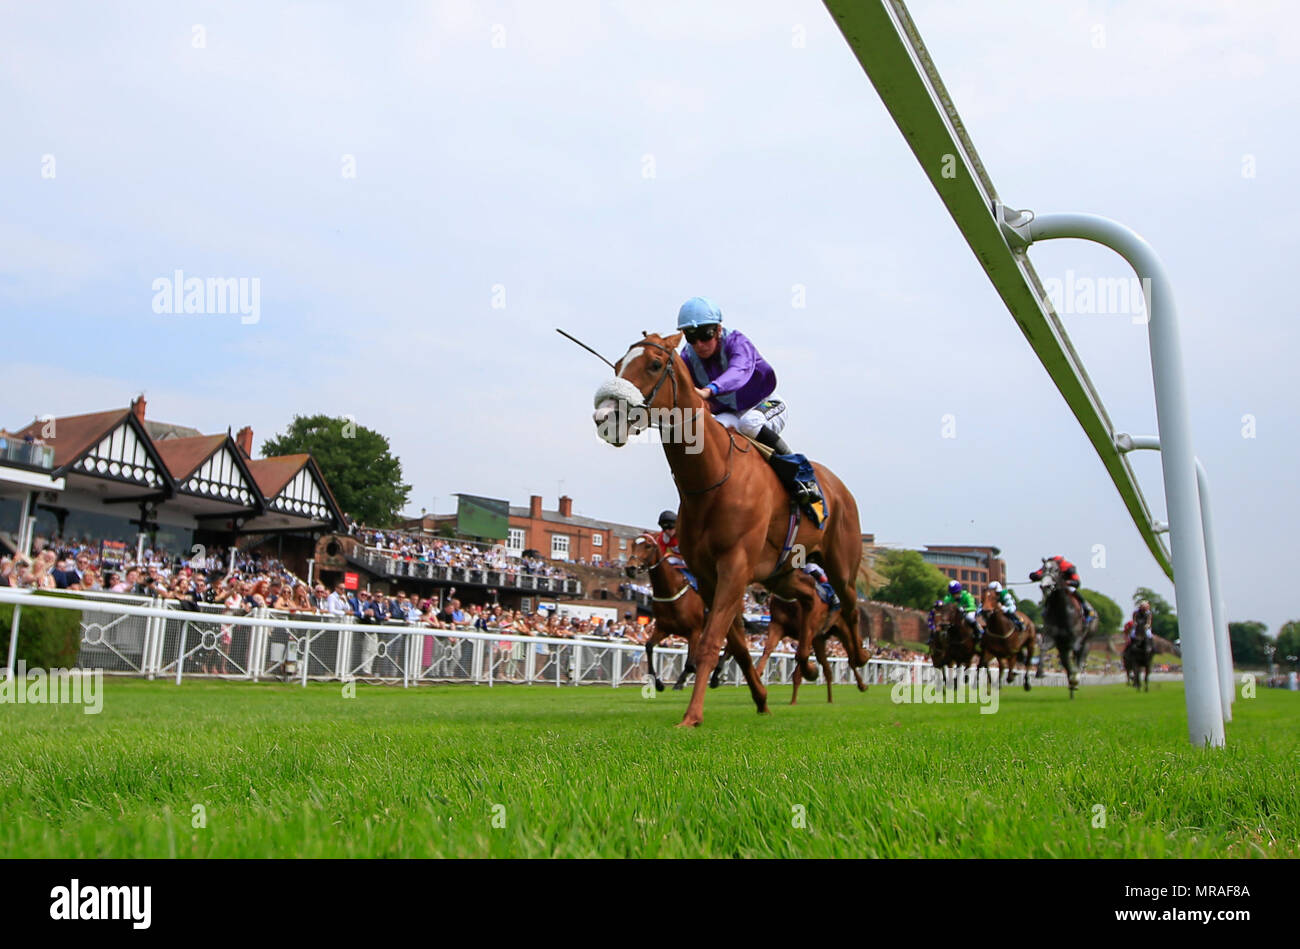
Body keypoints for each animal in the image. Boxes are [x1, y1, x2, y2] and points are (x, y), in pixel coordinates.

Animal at [595, 327, 868, 722]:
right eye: (617, 365)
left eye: (655, 364)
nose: (604, 417)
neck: (712, 476)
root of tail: (839, 487)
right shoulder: (710, 575)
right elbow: (735, 644)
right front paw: (761, 697)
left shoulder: (735, 566)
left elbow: (710, 641)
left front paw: (691, 716)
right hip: (782, 573)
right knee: (808, 602)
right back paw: (810, 663)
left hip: (841, 563)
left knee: (848, 605)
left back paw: (858, 656)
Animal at [1034, 553, 1086, 696]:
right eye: (1043, 570)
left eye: (1056, 570)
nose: (1045, 586)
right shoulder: (1051, 636)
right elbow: (1043, 649)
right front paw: (1040, 672)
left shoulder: (1075, 639)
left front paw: (1075, 678)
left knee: (1080, 655)